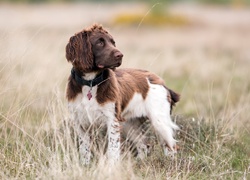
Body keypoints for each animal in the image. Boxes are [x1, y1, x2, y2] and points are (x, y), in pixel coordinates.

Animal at [65, 23, 180, 165]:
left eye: (113, 42)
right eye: (99, 42)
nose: (120, 55)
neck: (90, 83)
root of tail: (161, 82)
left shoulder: (112, 121)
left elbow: (113, 149)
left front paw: (111, 166)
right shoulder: (80, 122)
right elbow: (84, 149)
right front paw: (85, 166)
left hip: (160, 121)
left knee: (171, 147)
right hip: (130, 124)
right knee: (144, 144)